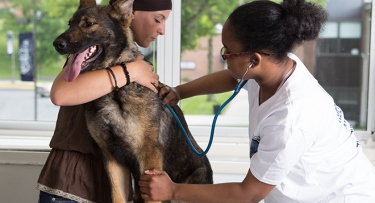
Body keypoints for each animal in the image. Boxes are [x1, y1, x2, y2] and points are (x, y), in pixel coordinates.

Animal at [52, 0, 214, 202]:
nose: (56, 44)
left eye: (88, 24)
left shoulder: (149, 161)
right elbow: (117, 196)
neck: (116, 91)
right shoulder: (112, 159)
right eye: (70, 24)